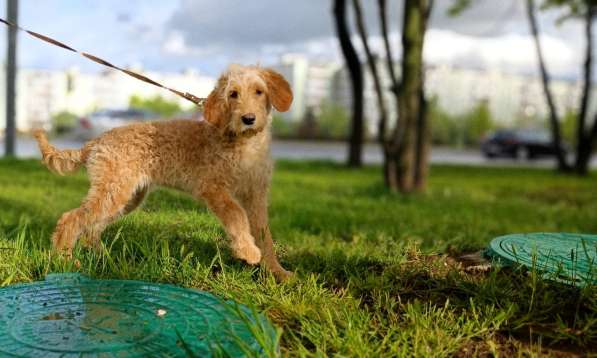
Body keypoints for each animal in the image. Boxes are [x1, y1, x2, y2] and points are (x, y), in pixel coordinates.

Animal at [33, 65, 294, 282]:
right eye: (233, 94)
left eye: (259, 91)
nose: (248, 119)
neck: (243, 143)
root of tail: (96, 141)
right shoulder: (213, 188)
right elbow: (237, 215)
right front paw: (248, 251)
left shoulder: (256, 195)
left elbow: (264, 234)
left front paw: (278, 273)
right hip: (113, 192)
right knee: (71, 218)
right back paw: (65, 260)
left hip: (126, 197)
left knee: (92, 227)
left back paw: (101, 258)